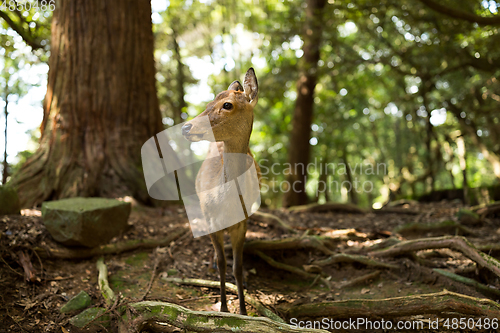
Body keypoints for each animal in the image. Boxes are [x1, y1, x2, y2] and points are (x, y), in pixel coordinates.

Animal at [181, 68, 260, 314]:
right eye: (208, 102)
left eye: (227, 105)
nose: (185, 127)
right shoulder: (209, 219)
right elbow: (224, 264)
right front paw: (224, 308)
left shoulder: (242, 223)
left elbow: (237, 267)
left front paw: (243, 311)